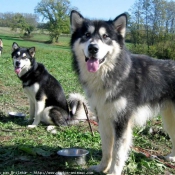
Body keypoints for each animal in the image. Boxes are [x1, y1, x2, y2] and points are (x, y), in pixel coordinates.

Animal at [70, 10, 175, 175]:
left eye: (105, 36)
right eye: (86, 34)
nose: (93, 48)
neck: (111, 73)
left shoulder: (122, 121)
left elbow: (118, 152)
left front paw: (113, 172)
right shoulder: (104, 118)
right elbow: (107, 149)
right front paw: (101, 168)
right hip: (169, 118)